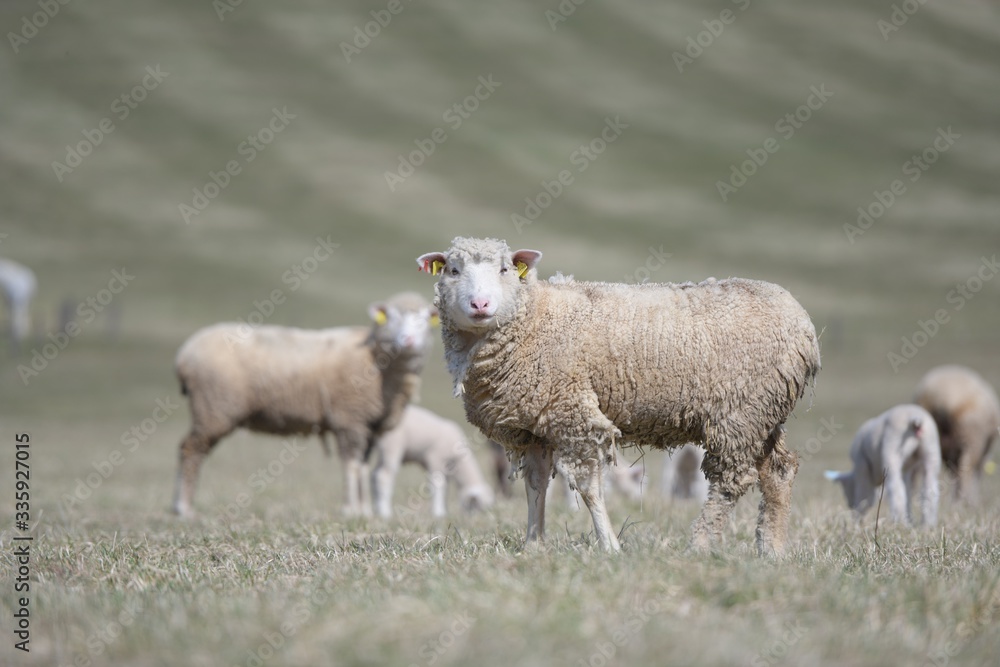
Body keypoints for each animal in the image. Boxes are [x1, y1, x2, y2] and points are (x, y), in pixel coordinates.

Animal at [172, 292, 436, 518]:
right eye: (392, 317)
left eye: (425, 320)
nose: (409, 340)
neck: (376, 360)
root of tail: (185, 353)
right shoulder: (348, 419)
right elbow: (351, 467)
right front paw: (351, 511)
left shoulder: (369, 425)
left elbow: (361, 467)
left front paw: (365, 511)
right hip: (213, 407)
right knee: (191, 450)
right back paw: (183, 508)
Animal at [416, 237, 820, 555]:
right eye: (452, 270)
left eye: (504, 269)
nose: (480, 305)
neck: (532, 319)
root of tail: (802, 324)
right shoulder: (536, 428)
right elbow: (535, 486)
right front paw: (534, 545)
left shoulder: (574, 415)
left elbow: (588, 487)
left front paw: (609, 546)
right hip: (764, 413)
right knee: (779, 472)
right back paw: (771, 550)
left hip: (740, 411)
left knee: (731, 481)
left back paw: (700, 545)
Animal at [913, 364, 1000, 505]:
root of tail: (941, 399)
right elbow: (974, 473)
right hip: (972, 438)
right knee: (967, 469)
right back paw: (965, 500)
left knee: (918, 470)